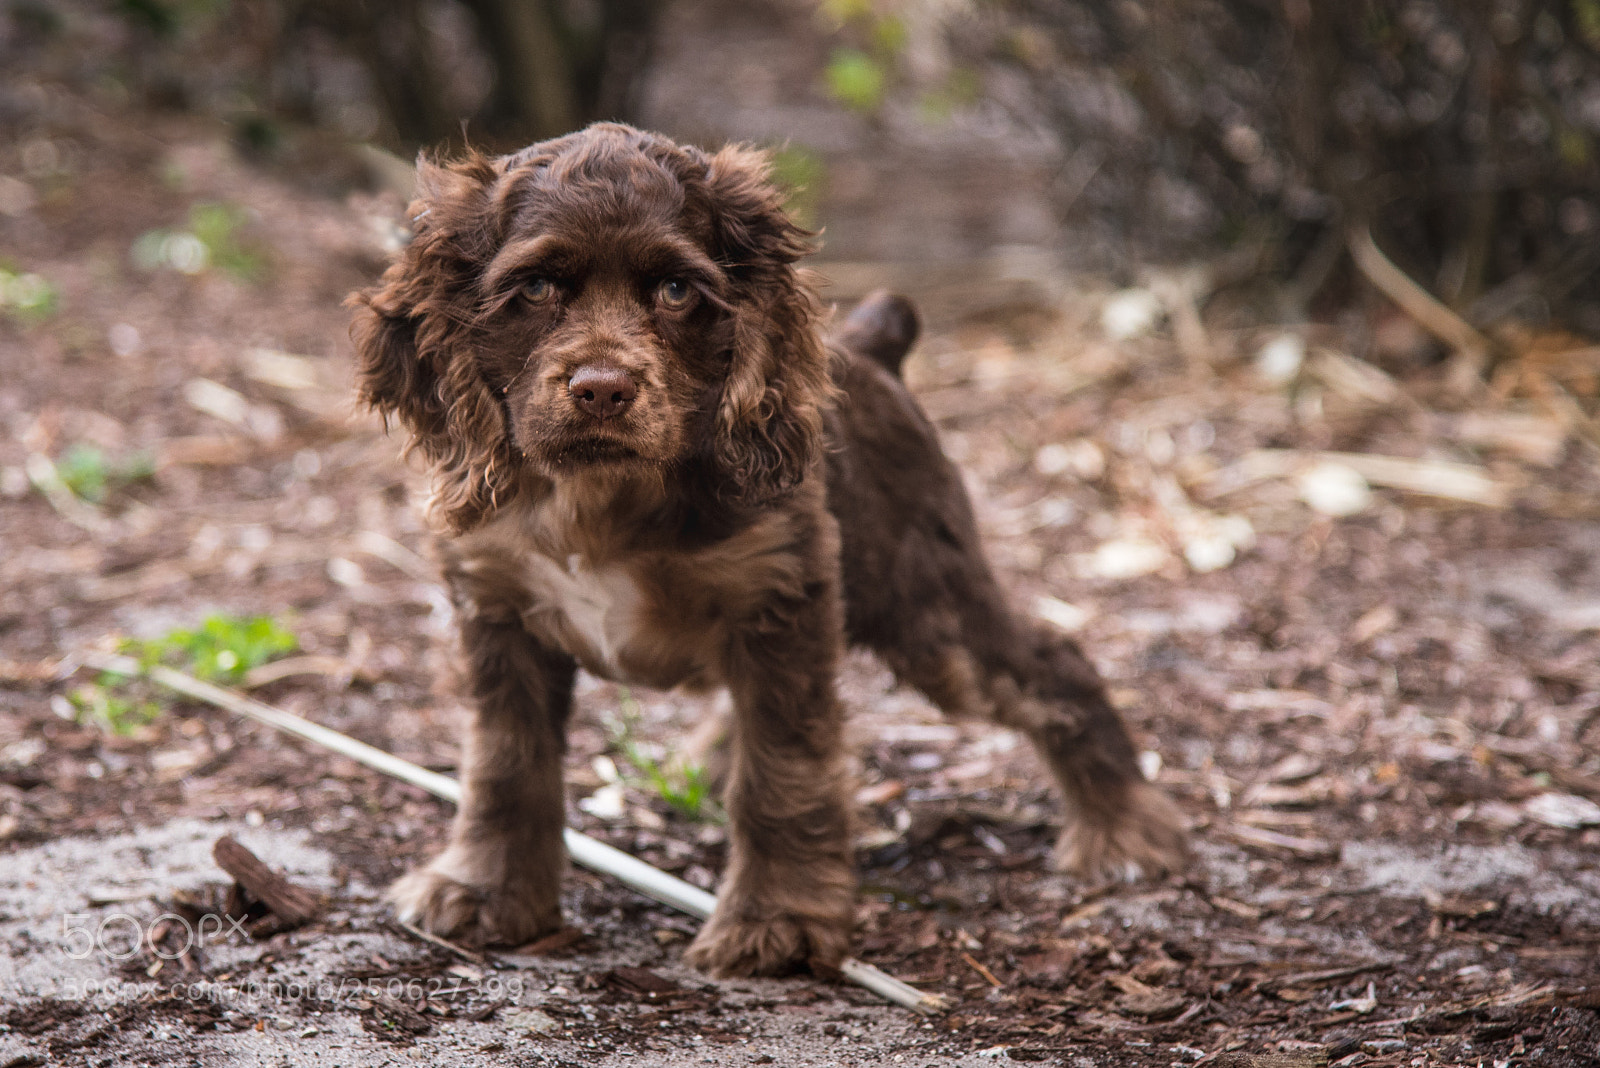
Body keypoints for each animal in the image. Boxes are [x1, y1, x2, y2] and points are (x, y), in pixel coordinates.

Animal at [350, 123, 1184, 978]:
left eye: (676, 291)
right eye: (539, 287)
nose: (604, 389)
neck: (601, 498)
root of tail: (873, 347)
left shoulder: (781, 598)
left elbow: (782, 772)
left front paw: (777, 920)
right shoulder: (498, 609)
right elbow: (505, 766)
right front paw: (484, 890)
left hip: (926, 605)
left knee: (1053, 661)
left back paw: (1122, 830)